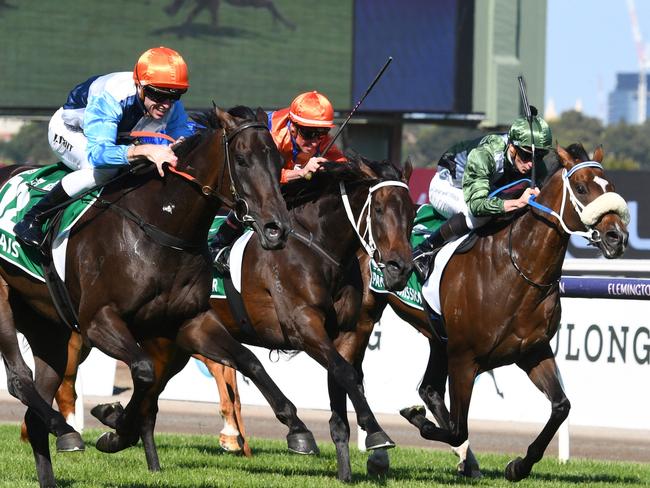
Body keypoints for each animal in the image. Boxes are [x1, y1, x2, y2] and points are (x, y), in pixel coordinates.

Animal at [0, 107, 316, 488]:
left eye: (278, 160)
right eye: (241, 159)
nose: (276, 229)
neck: (160, 228)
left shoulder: (190, 322)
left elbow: (249, 361)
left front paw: (298, 429)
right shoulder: (98, 321)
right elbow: (144, 371)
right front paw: (115, 426)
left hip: (49, 327)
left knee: (38, 402)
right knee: (19, 380)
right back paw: (67, 430)